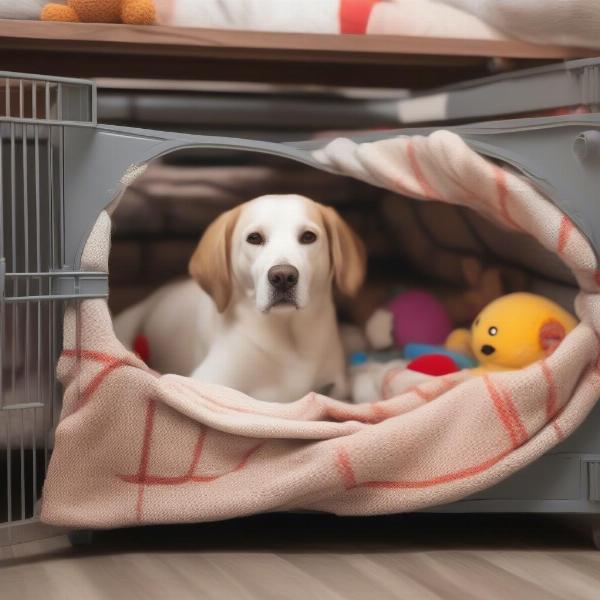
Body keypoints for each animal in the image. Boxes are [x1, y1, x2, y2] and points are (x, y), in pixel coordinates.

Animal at [112, 196, 366, 404]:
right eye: (254, 238)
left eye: (308, 237)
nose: (283, 276)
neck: (287, 337)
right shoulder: (206, 380)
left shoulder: (337, 387)